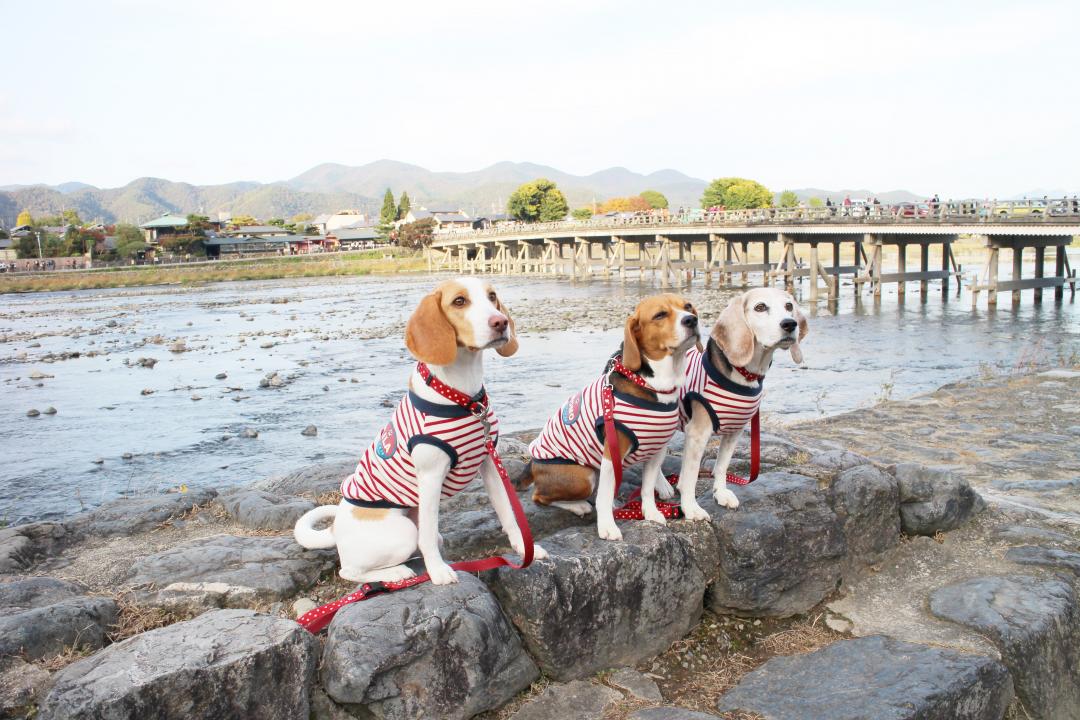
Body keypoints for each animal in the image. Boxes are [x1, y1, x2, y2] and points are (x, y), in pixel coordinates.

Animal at [293, 278, 544, 587]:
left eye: (492, 296)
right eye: (459, 301)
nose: (501, 322)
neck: (464, 396)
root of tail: (335, 530)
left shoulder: (489, 464)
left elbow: (508, 513)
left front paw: (524, 548)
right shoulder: (431, 476)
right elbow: (427, 536)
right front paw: (437, 571)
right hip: (402, 531)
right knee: (351, 570)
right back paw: (398, 572)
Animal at [520, 293, 699, 539]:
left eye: (688, 306)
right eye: (660, 315)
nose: (692, 320)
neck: (654, 383)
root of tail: (532, 463)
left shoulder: (657, 449)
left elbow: (646, 487)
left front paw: (651, 512)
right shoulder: (611, 453)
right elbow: (604, 497)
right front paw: (607, 526)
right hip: (583, 476)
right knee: (539, 496)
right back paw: (579, 505)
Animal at [678, 284, 807, 520]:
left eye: (789, 306)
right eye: (760, 307)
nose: (789, 324)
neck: (745, 374)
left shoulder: (734, 431)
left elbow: (721, 466)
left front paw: (720, 493)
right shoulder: (697, 433)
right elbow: (691, 476)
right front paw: (691, 508)